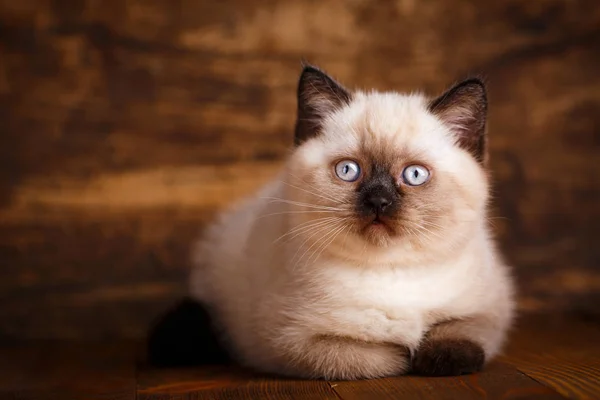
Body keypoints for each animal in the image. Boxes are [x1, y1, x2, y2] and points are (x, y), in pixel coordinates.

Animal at [184, 65, 516, 378]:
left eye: (415, 175)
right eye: (348, 170)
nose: (378, 201)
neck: (390, 272)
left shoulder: (488, 310)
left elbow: (456, 336)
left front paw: (432, 354)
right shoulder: (289, 343)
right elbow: (377, 357)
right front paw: (403, 350)